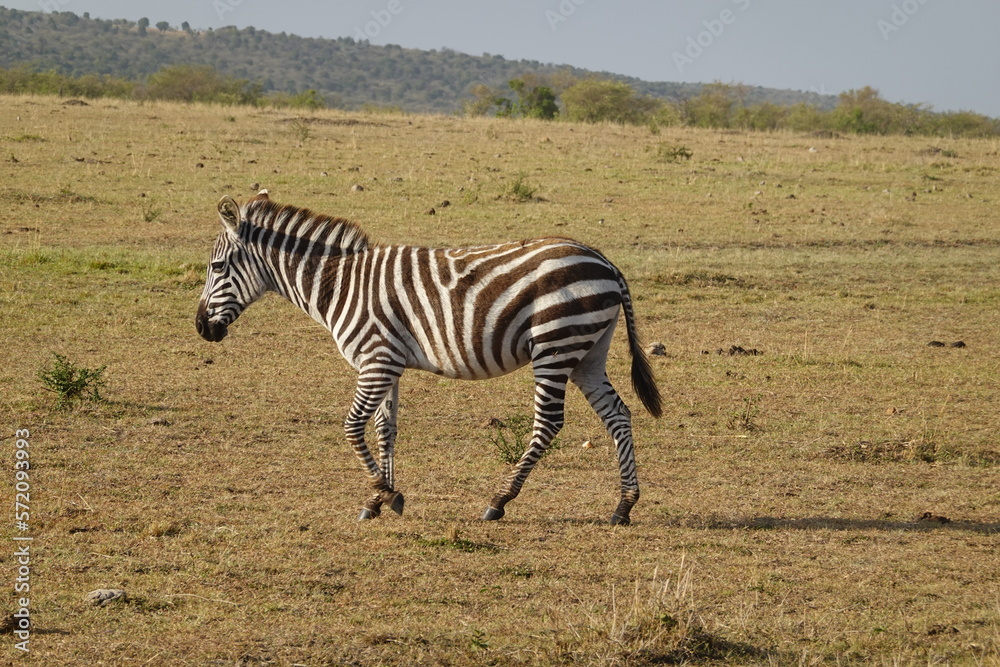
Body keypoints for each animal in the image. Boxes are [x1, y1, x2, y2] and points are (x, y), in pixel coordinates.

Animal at [196, 191, 662, 525]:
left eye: (217, 268)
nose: (201, 328)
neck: (340, 283)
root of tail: (605, 262)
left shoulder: (376, 360)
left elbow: (352, 427)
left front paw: (386, 494)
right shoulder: (387, 364)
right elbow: (385, 429)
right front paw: (378, 498)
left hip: (554, 342)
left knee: (548, 423)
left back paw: (499, 501)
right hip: (587, 352)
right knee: (618, 414)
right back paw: (624, 506)